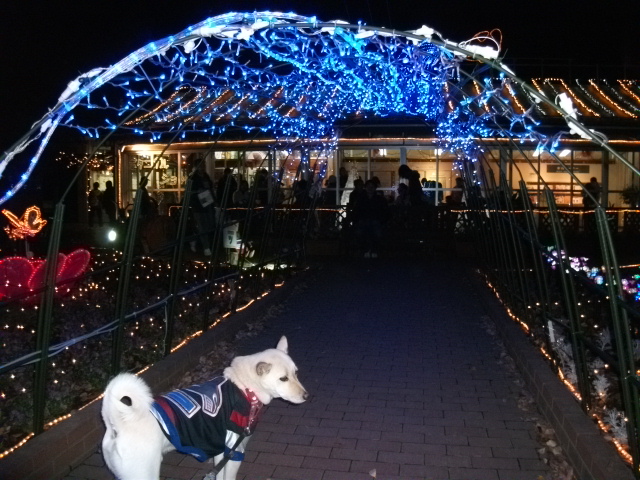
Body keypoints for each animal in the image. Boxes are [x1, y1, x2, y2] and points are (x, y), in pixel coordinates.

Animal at [101, 336, 308, 480]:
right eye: (283, 379)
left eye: (296, 373)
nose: (306, 396)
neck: (245, 388)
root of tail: (118, 423)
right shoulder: (235, 449)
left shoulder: (222, 451)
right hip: (143, 473)